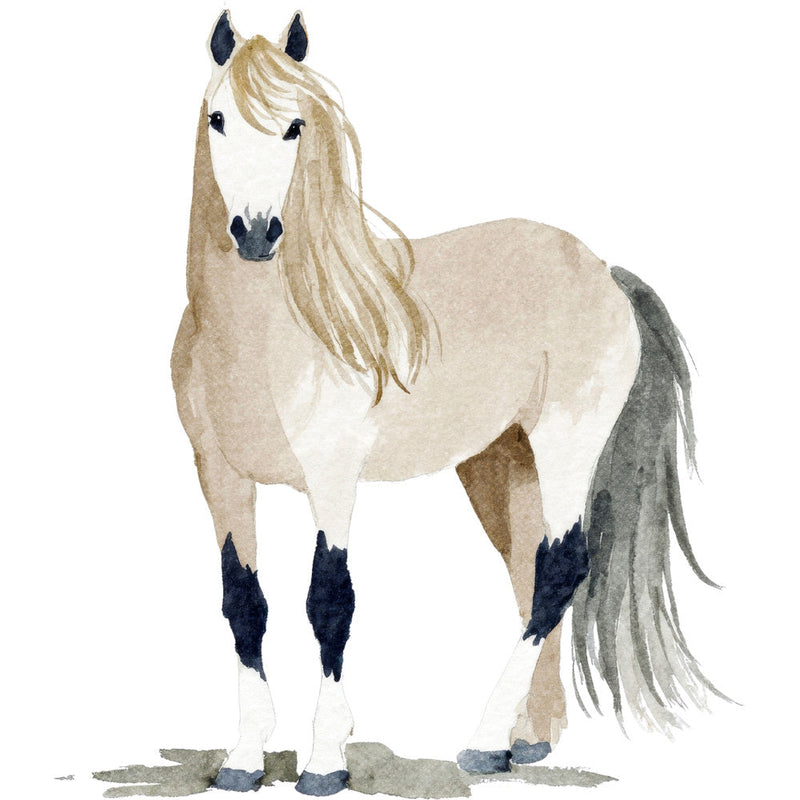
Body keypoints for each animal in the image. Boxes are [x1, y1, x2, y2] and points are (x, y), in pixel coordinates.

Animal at [171, 10, 721, 795]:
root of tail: (602, 270)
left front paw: (326, 760)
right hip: (500, 465)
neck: (266, 332)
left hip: (564, 445)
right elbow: (243, 604)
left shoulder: (332, 477)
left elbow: (329, 602)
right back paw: (527, 740)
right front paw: (243, 759)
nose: (254, 232)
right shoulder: (219, 476)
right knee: (528, 568)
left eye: (296, 126)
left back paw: (485, 744)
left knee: (560, 569)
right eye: (217, 117)